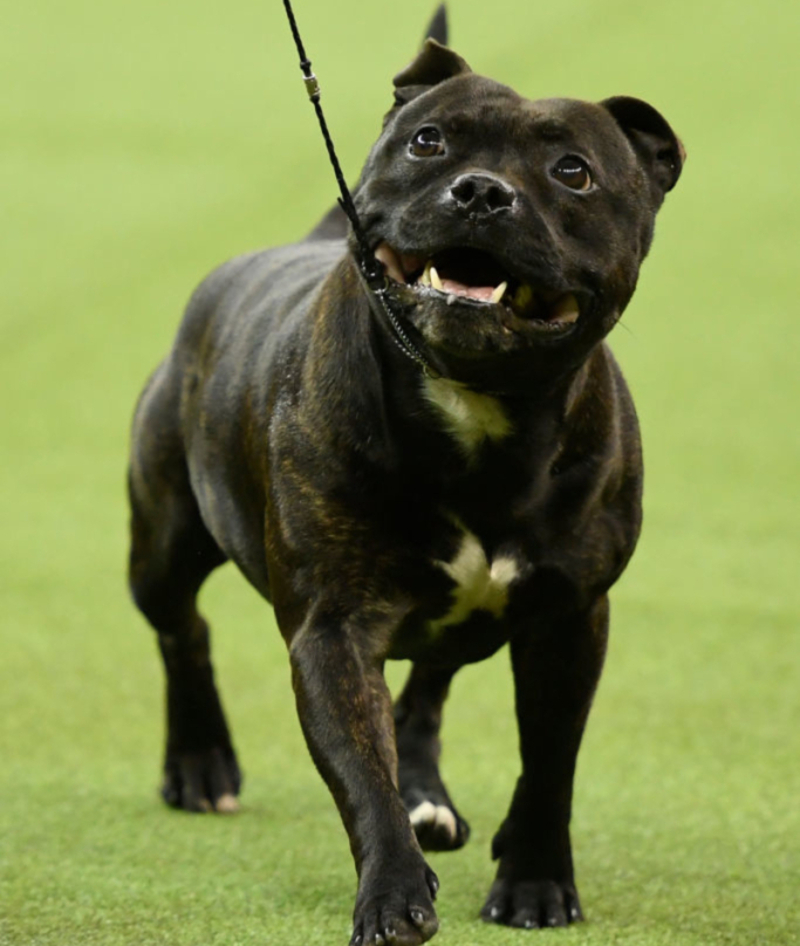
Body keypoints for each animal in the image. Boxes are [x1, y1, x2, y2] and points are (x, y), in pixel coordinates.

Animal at [128, 9, 684, 944]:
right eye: (430, 141)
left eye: (573, 171)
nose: (481, 192)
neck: (478, 409)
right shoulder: (333, 626)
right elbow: (362, 772)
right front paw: (392, 892)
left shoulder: (571, 619)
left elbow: (550, 761)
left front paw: (535, 881)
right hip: (163, 541)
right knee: (184, 630)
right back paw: (201, 764)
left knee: (425, 689)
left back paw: (426, 792)